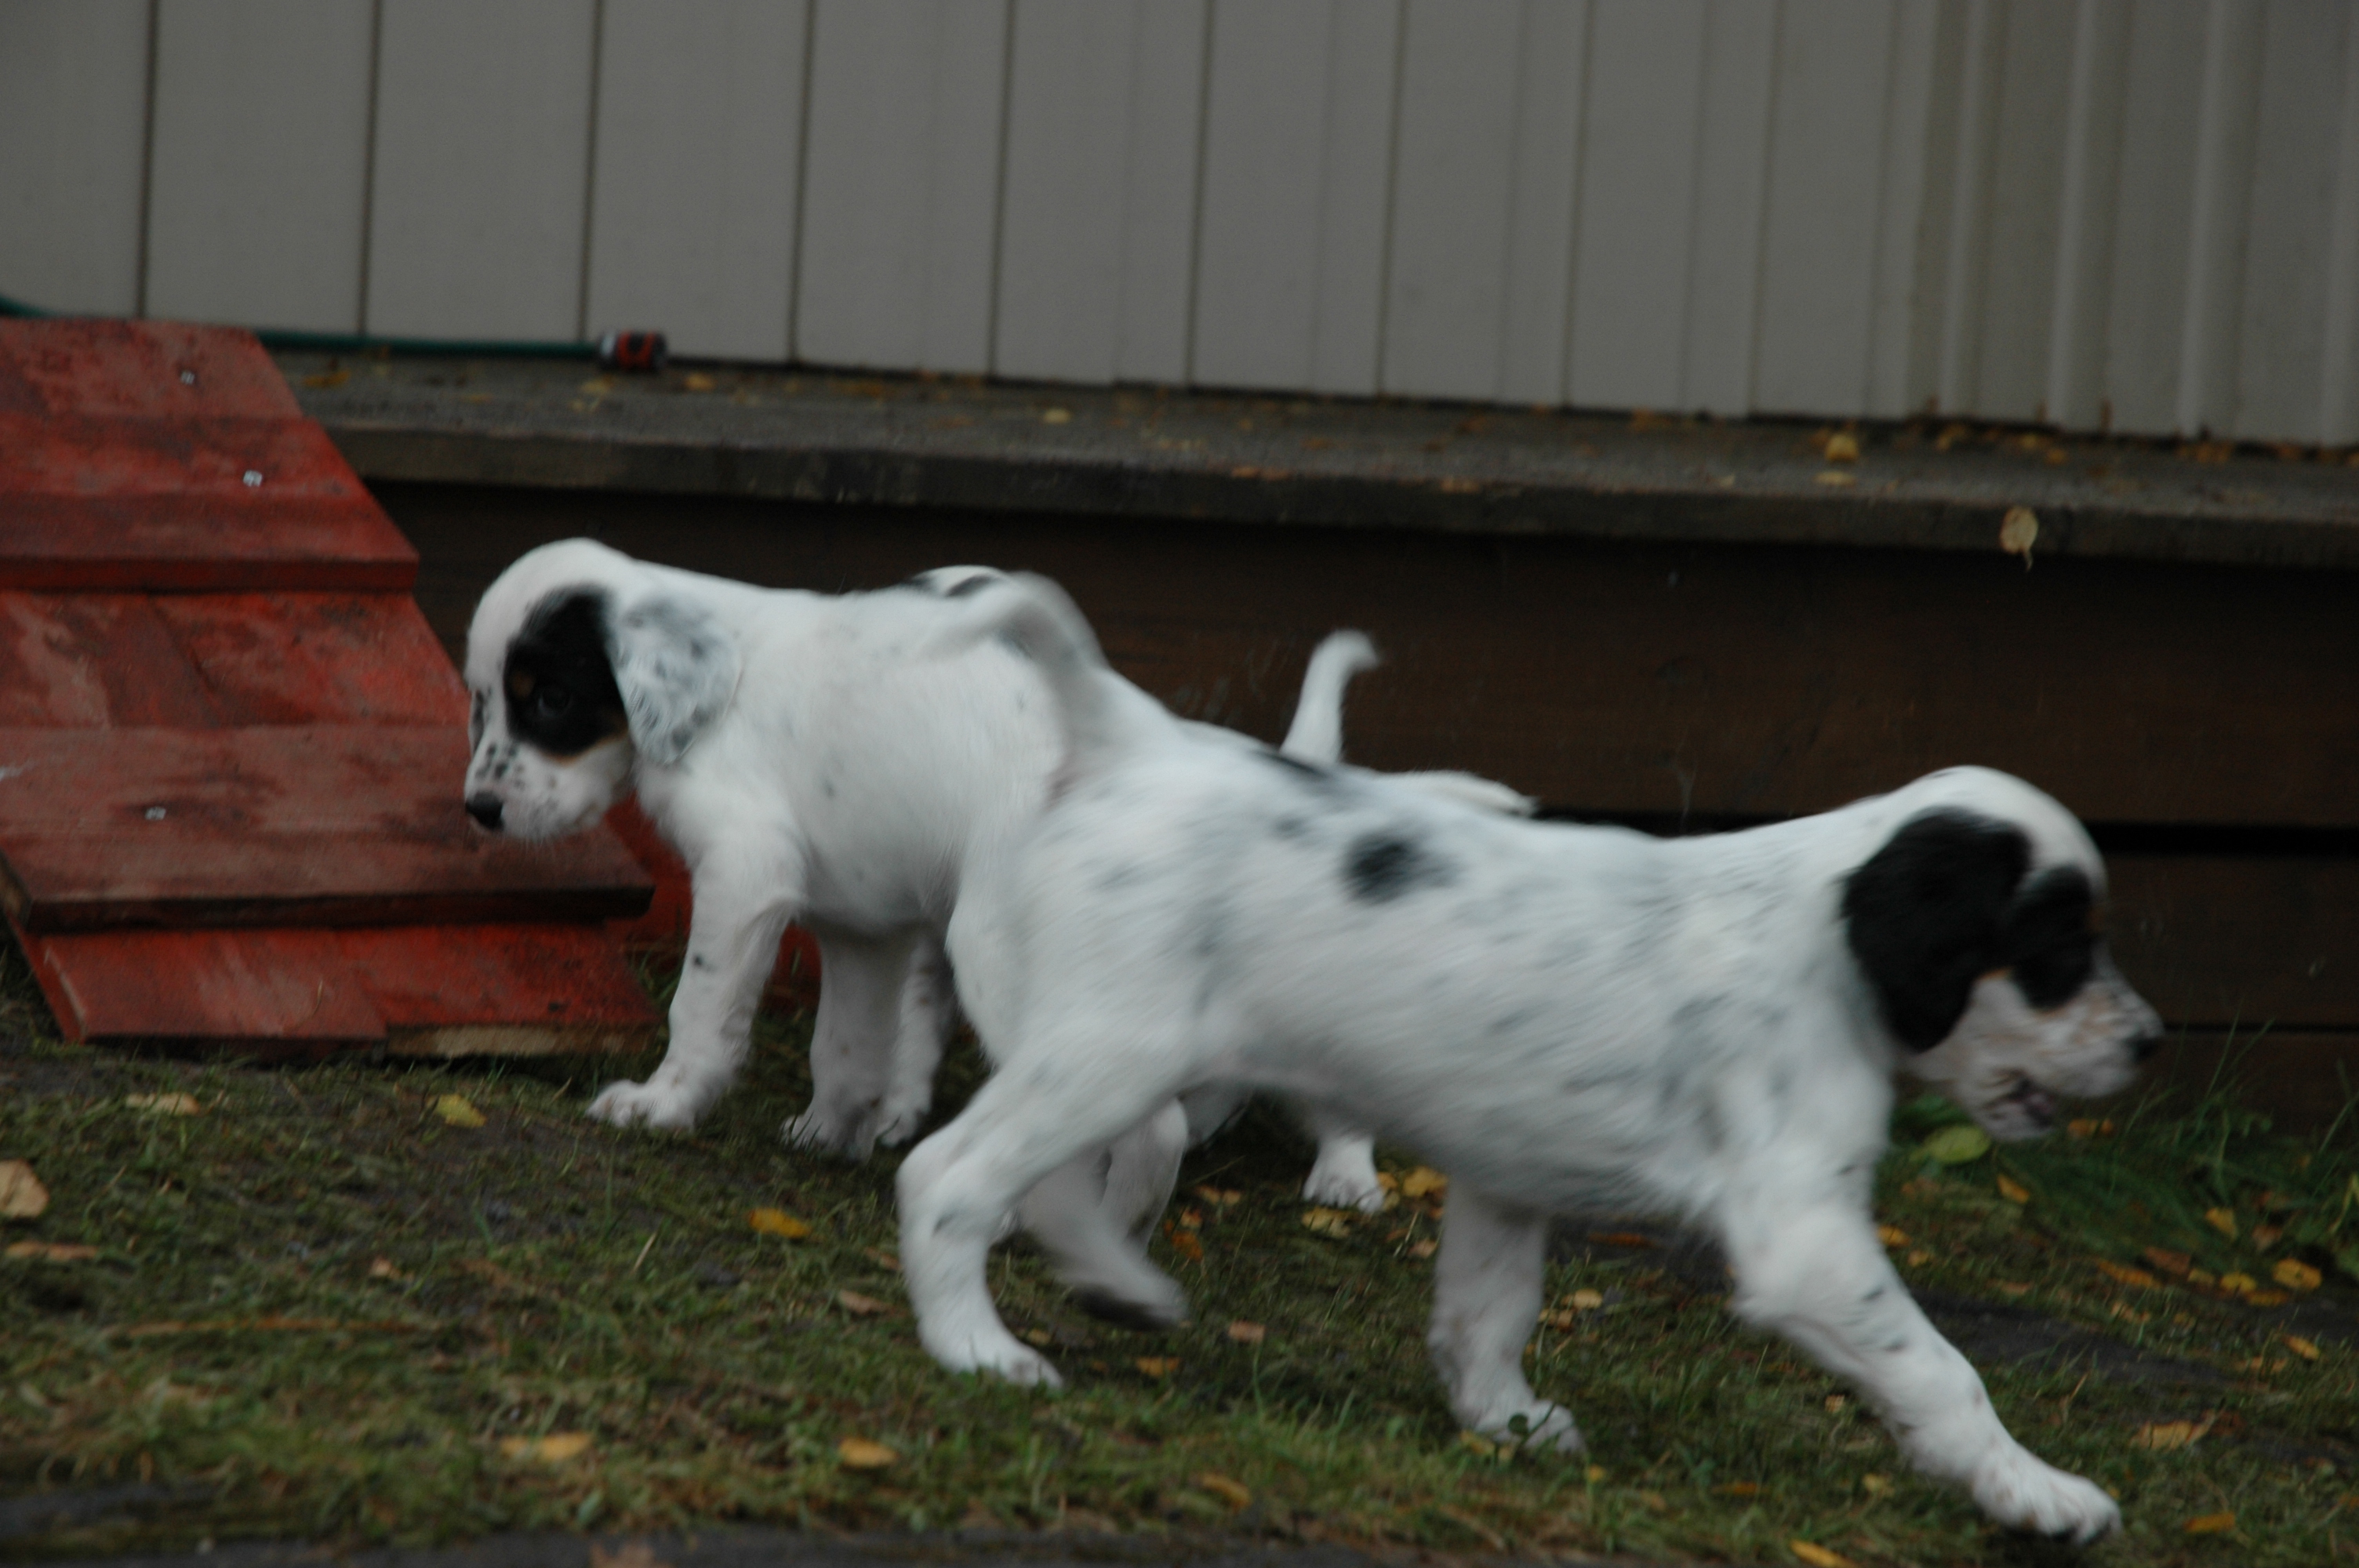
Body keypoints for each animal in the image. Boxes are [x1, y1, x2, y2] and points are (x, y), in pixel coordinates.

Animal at [894, 574, 2160, 1542]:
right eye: (2059, 947)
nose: (2150, 1041)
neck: (1829, 937)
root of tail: (1130, 744)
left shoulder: (1504, 1175)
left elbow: (1487, 1313)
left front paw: (1503, 1421)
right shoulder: (1804, 1235)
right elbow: (1944, 1369)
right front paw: (2039, 1493)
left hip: (1085, 1050)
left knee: (1045, 1184)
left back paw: (1118, 1286)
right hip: (1113, 1048)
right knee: (949, 1176)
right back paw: (977, 1349)